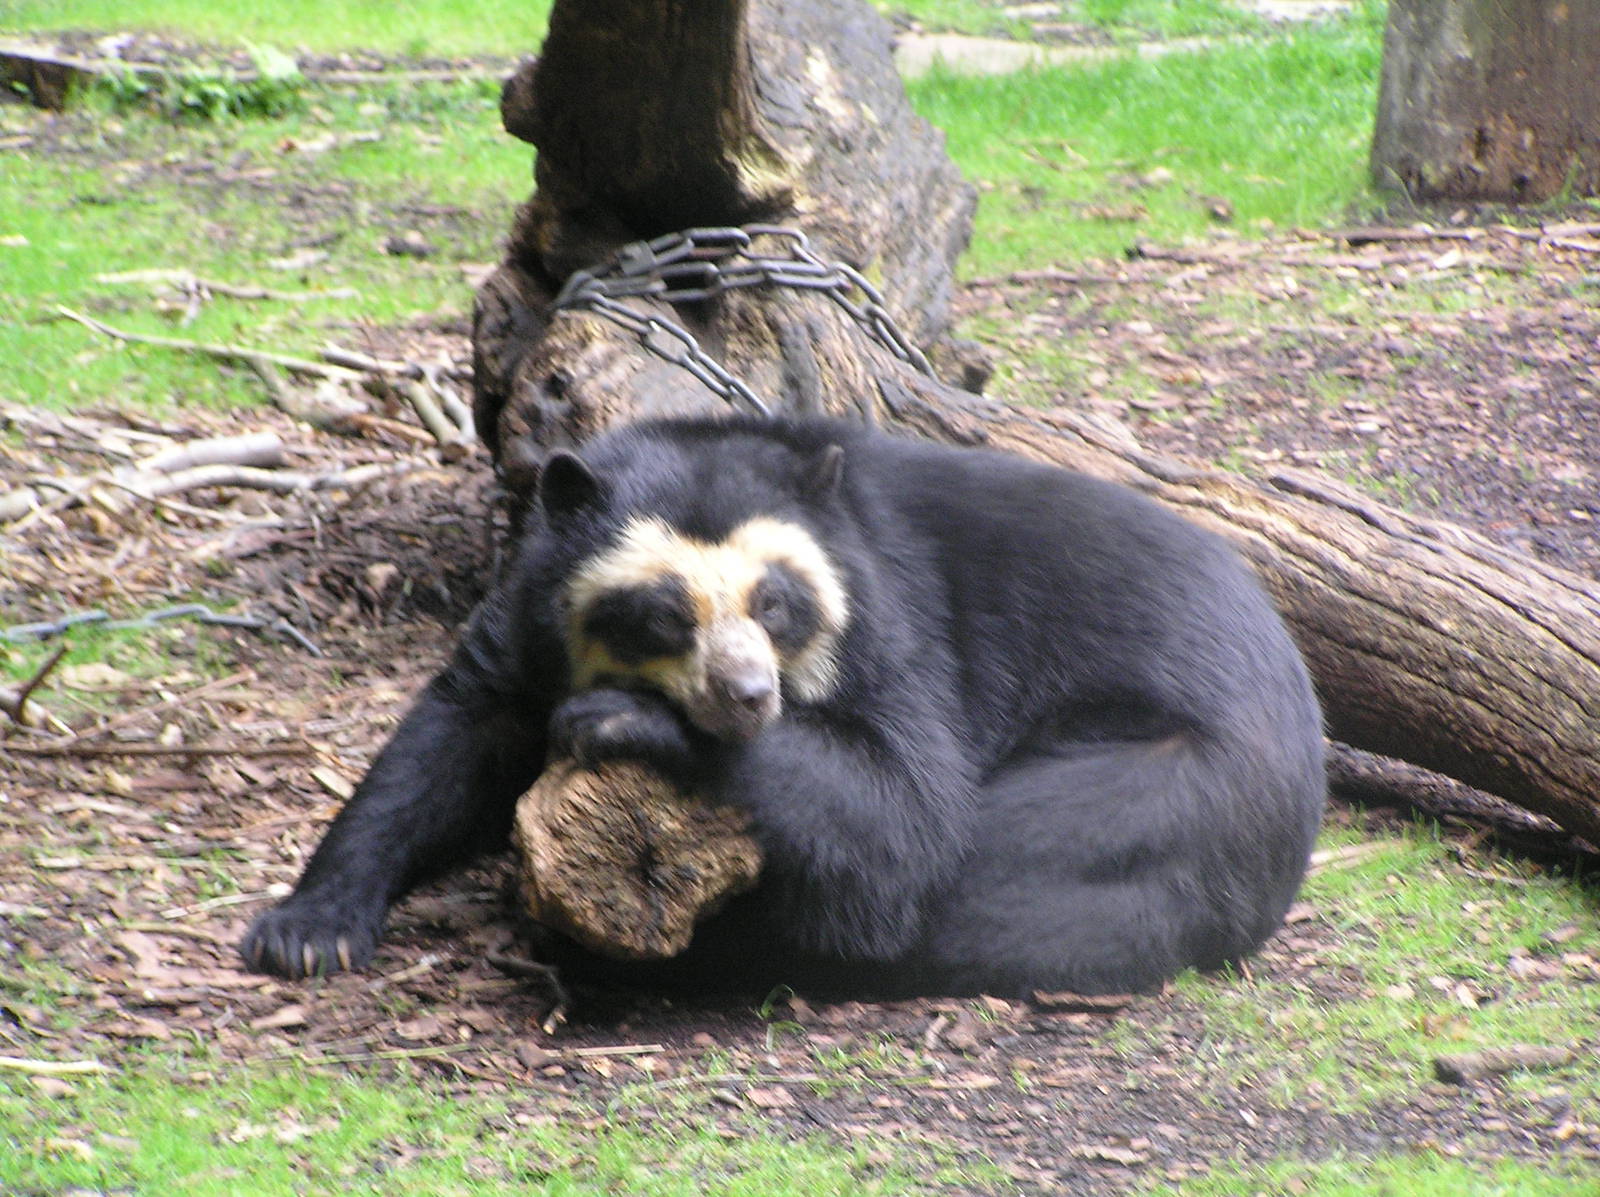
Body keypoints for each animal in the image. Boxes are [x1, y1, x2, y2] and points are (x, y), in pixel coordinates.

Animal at [242, 415, 1325, 997]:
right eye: (664, 612)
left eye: (776, 601)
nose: (748, 697)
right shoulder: (526, 608)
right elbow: (451, 734)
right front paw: (304, 930)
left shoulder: (893, 619)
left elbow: (903, 807)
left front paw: (616, 723)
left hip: (1162, 783)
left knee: (973, 883)